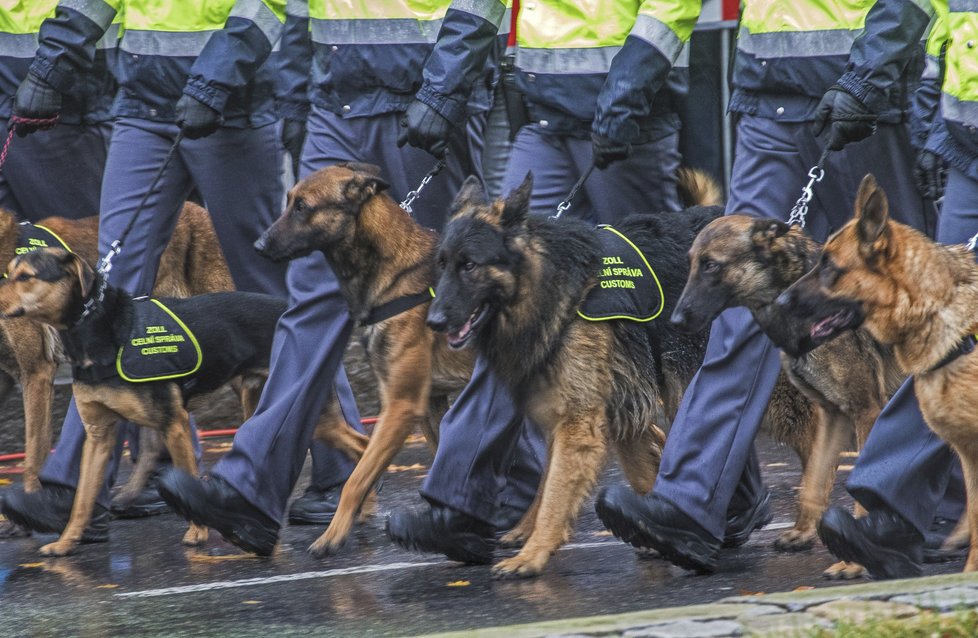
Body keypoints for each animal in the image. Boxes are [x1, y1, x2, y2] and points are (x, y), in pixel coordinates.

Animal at [0, 248, 286, 556]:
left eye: (26, 277)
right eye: (8, 273)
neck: (98, 329)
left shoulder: (174, 424)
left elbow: (187, 473)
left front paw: (197, 531)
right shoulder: (98, 435)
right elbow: (82, 500)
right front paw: (66, 540)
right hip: (252, 397)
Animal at [255, 162, 472, 556]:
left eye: (302, 207)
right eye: (288, 201)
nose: (259, 245)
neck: (393, 272)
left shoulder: (401, 407)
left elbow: (355, 480)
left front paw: (333, 534)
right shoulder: (428, 406)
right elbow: (439, 461)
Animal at [426, 171, 724, 580]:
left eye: (469, 265)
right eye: (442, 264)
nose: (433, 322)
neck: (552, 286)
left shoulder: (578, 423)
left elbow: (554, 493)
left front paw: (533, 553)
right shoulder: (578, 411)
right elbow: (556, 480)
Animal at [672, 215, 900, 580]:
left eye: (711, 265)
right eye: (692, 264)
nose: (676, 320)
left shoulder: (866, 411)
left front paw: (854, 560)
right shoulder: (832, 414)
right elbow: (813, 483)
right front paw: (805, 533)